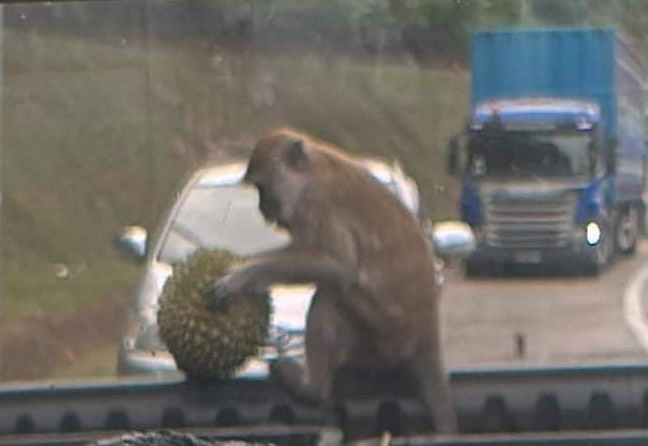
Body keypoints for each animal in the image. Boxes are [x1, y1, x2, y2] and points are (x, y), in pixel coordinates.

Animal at [205, 127, 458, 434]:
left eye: (262, 188)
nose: (263, 209)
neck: (313, 171)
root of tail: (427, 330)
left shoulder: (317, 206)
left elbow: (339, 267)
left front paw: (243, 276)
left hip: (382, 335)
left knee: (330, 295)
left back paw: (312, 388)